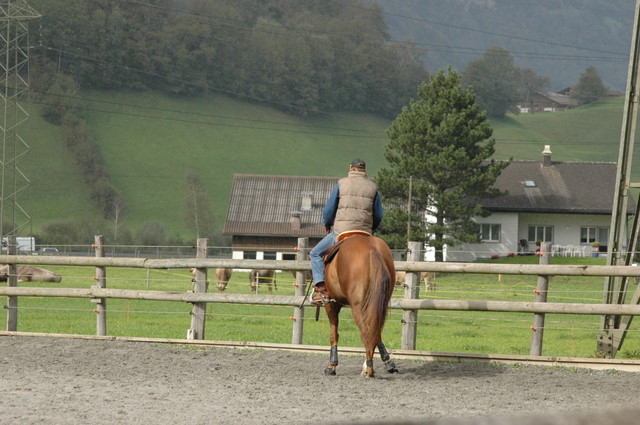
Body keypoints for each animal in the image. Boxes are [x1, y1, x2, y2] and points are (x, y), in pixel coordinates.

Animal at [322, 233, 398, 378]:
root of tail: (372, 249)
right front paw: (387, 362)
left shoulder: (331, 304)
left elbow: (333, 334)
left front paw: (331, 366)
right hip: (379, 305)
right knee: (374, 330)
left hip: (357, 308)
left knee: (366, 334)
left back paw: (369, 369)